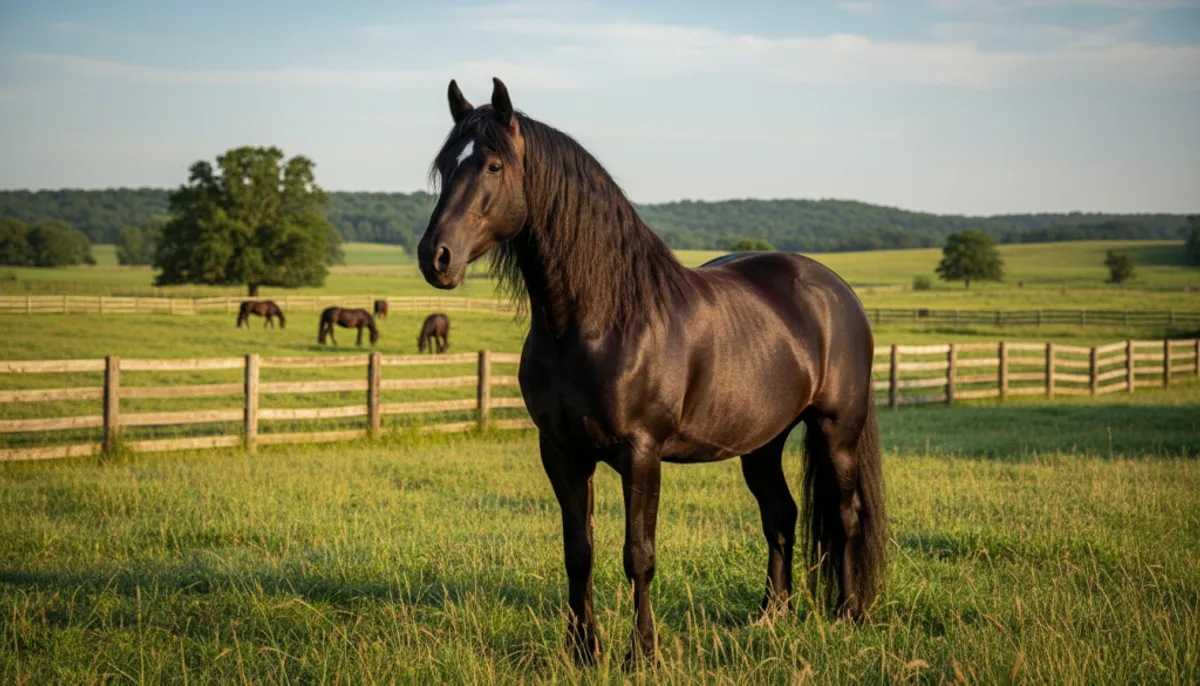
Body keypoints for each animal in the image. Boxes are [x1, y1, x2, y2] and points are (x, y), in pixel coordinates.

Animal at [416, 78, 886, 666]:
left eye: (493, 165)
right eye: (444, 166)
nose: (435, 257)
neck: (600, 319)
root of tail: (838, 291)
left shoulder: (640, 453)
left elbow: (638, 554)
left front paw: (641, 653)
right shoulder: (562, 452)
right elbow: (578, 551)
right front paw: (583, 651)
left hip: (836, 432)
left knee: (846, 519)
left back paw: (848, 615)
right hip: (762, 442)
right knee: (780, 516)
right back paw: (769, 619)